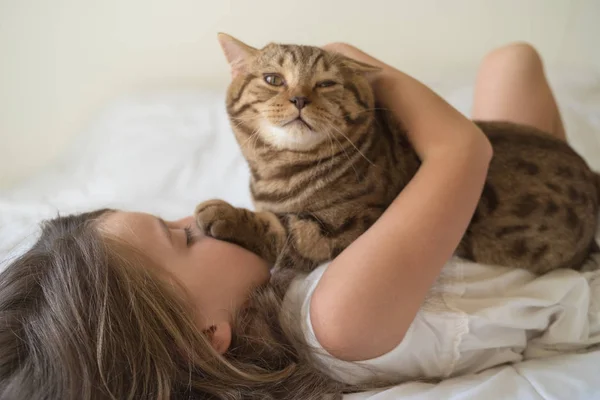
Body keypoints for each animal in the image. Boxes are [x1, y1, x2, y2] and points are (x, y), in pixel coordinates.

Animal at [195, 33, 596, 276]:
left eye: (326, 84)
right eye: (273, 80)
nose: (299, 99)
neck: (276, 173)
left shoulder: (349, 227)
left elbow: (282, 229)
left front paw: (225, 213)